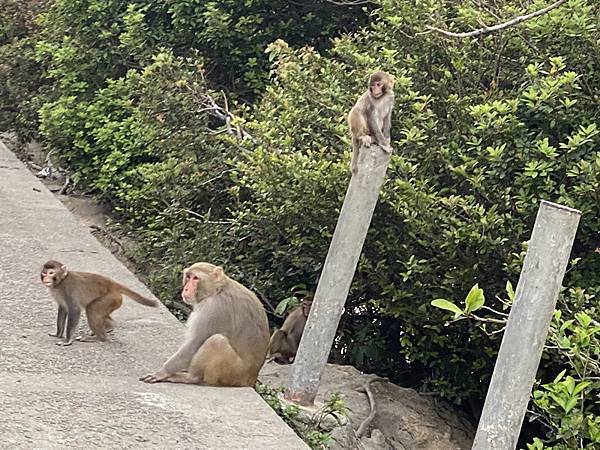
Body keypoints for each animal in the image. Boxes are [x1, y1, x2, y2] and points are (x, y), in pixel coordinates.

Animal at [139, 264, 268, 386]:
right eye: (188, 277)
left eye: (196, 278)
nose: (186, 289)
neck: (217, 289)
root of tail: (250, 379)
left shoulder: (213, 309)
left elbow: (194, 344)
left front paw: (162, 372)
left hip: (234, 373)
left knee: (216, 340)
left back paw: (191, 377)